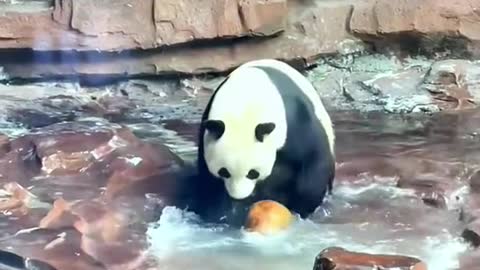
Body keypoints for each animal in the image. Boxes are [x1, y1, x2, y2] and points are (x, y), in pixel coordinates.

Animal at [188, 59, 334, 226]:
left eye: (253, 173)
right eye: (223, 171)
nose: (239, 196)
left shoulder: (294, 121)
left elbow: (312, 157)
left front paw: (302, 207)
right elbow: (209, 180)